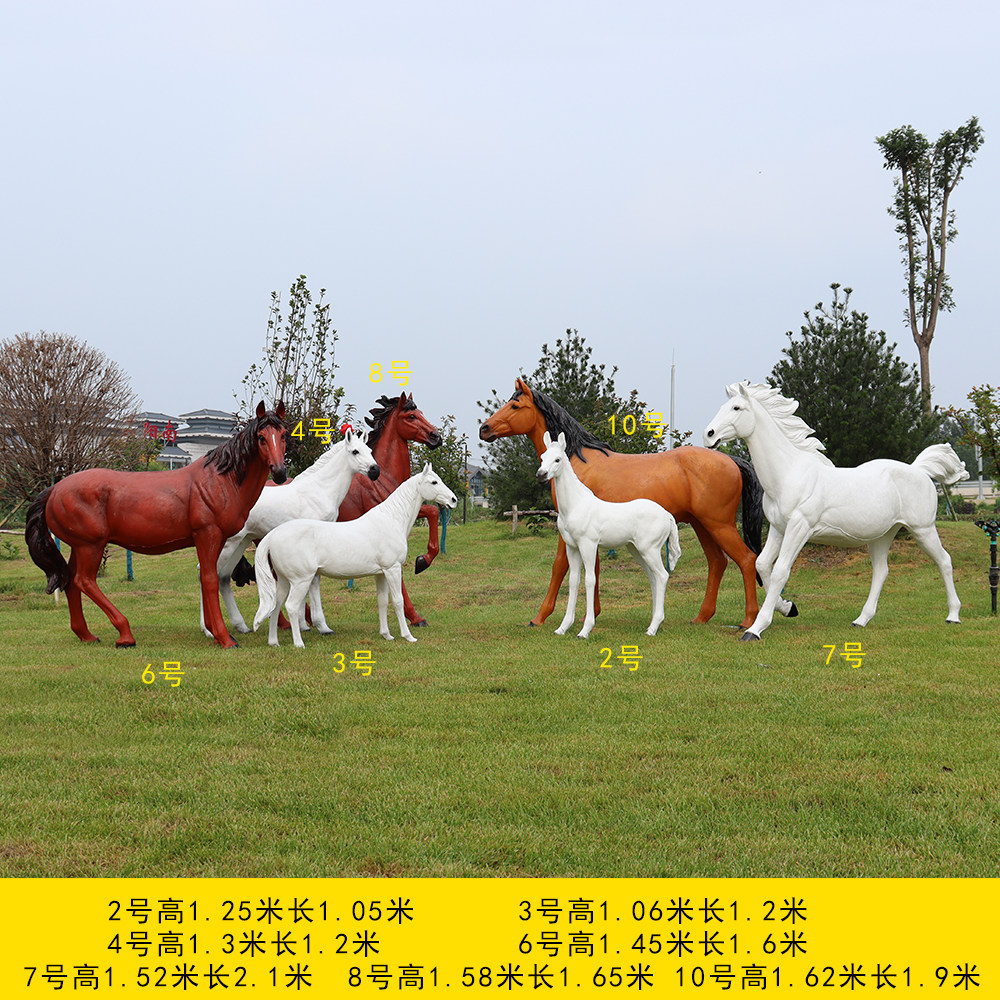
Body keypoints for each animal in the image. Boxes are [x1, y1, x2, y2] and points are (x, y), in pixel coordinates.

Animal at [25, 401, 288, 648]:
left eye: (284, 434)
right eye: (261, 437)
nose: (280, 472)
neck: (218, 480)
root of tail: (55, 489)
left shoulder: (217, 539)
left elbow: (207, 578)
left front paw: (214, 633)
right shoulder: (207, 535)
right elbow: (210, 579)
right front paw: (225, 638)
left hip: (80, 546)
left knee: (71, 582)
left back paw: (87, 635)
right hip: (91, 546)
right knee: (84, 580)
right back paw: (125, 634)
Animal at [200, 428, 379, 638]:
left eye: (369, 450)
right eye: (355, 451)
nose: (375, 471)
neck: (319, 492)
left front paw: (303, 625)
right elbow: (314, 581)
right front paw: (321, 626)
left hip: (241, 543)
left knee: (222, 577)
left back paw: (240, 626)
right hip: (227, 544)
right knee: (205, 575)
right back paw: (209, 630)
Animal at [253, 464, 457, 648]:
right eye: (434, 482)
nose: (454, 499)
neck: (391, 519)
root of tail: (273, 534)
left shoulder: (381, 573)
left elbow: (382, 601)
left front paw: (386, 635)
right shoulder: (392, 569)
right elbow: (397, 601)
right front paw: (408, 636)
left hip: (284, 581)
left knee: (276, 605)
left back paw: (274, 642)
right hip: (300, 581)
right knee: (292, 607)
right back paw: (298, 643)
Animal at [537, 431, 681, 638]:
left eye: (557, 459)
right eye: (542, 458)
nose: (541, 474)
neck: (575, 505)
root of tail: (667, 515)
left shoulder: (588, 545)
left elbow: (590, 580)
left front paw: (585, 629)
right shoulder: (572, 546)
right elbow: (573, 580)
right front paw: (563, 627)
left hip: (650, 549)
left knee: (662, 576)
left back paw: (653, 628)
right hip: (637, 549)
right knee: (653, 577)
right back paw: (653, 623)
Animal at [703, 381, 967, 640]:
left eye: (737, 408)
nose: (709, 434)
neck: (789, 473)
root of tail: (919, 470)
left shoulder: (799, 528)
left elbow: (780, 571)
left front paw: (755, 629)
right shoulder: (779, 528)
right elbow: (763, 565)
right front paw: (788, 608)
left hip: (923, 529)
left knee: (944, 560)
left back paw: (953, 616)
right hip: (882, 536)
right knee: (881, 571)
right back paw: (860, 620)